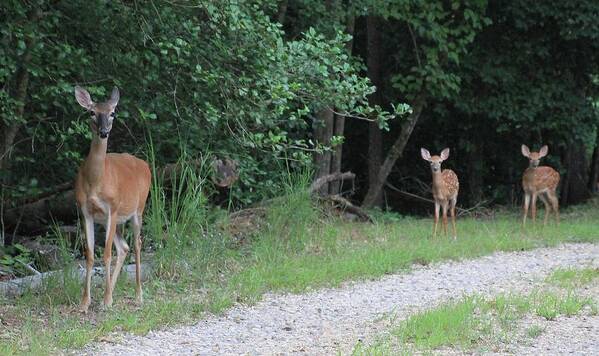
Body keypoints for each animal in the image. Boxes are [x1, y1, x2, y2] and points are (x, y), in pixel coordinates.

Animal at [73, 85, 151, 312]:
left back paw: (138, 295)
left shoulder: (112, 208)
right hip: (116, 221)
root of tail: (145, 164)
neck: (96, 182)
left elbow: (106, 254)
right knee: (123, 248)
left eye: (113, 113)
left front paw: (107, 300)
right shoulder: (86, 212)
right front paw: (85, 302)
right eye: (91, 112)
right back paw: (110, 292)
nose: (103, 132)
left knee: (136, 245)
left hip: (138, 209)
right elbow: (90, 255)